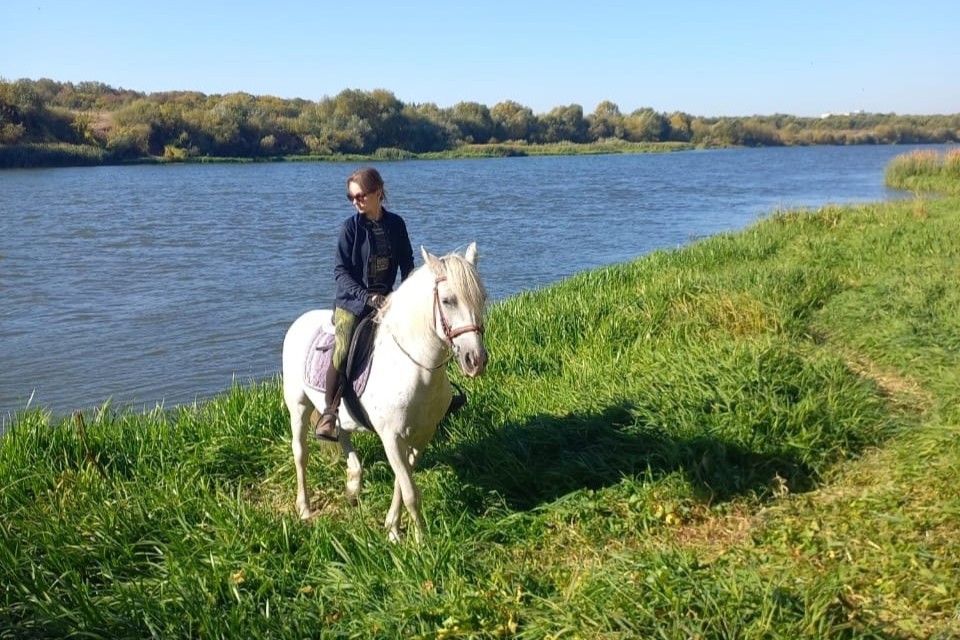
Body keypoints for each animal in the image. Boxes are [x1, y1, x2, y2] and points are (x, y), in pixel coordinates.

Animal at [280, 242, 488, 544]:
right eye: (449, 300)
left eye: (482, 298)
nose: (476, 360)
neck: (414, 368)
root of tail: (299, 322)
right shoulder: (391, 437)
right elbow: (411, 491)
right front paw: (420, 540)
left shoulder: (421, 435)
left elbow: (403, 481)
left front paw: (392, 527)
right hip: (298, 405)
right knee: (300, 453)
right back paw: (305, 509)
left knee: (341, 432)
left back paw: (353, 484)